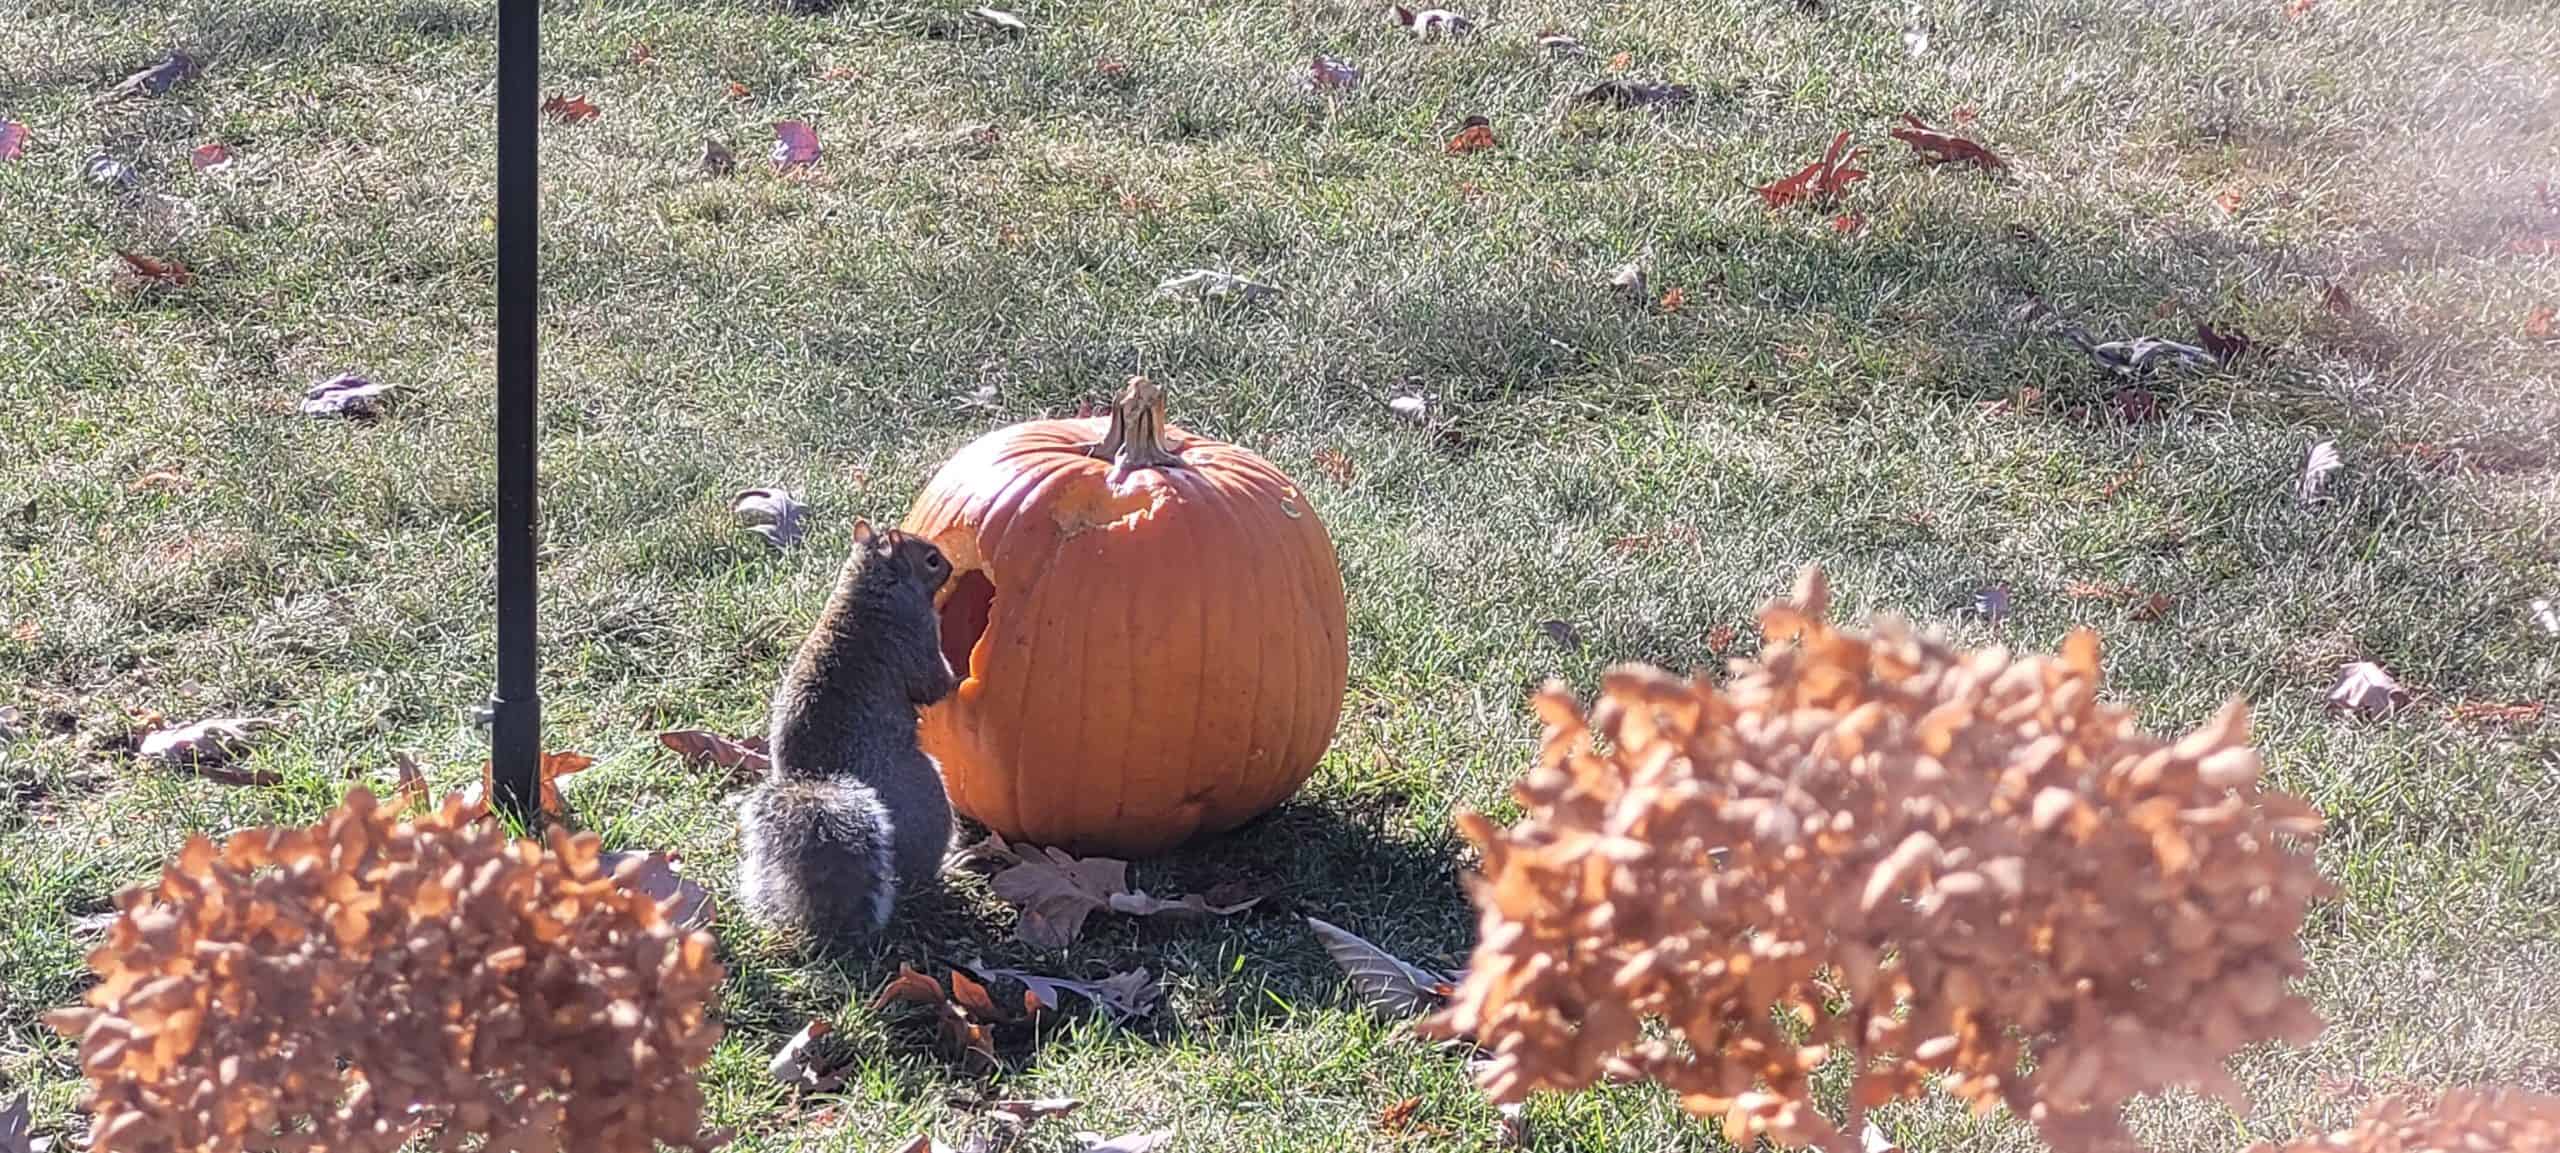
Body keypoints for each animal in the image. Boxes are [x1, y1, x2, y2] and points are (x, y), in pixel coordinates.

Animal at [737, 519, 960, 947]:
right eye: (931, 559)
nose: (953, 567)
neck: (867, 585)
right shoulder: (916, 634)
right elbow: (934, 685)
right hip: (930, 796)